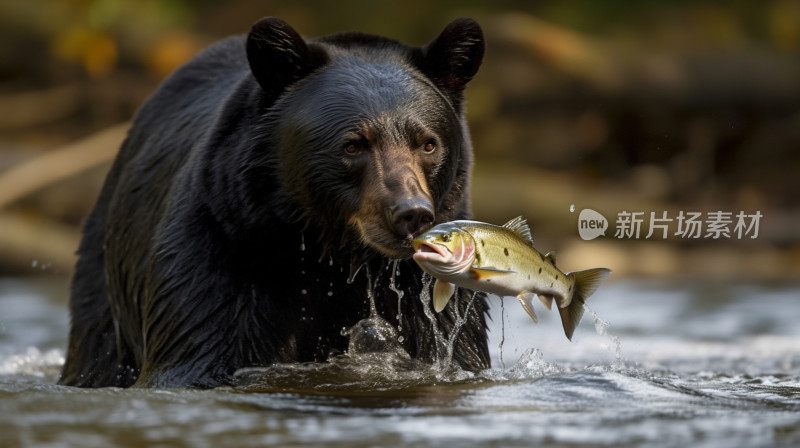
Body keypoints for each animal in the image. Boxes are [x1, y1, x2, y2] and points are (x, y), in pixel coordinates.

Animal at [59, 18, 490, 388]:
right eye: (353, 145)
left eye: (428, 143)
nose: (411, 213)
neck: (328, 257)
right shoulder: (220, 250)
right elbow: (195, 350)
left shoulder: (429, 292)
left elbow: (455, 347)